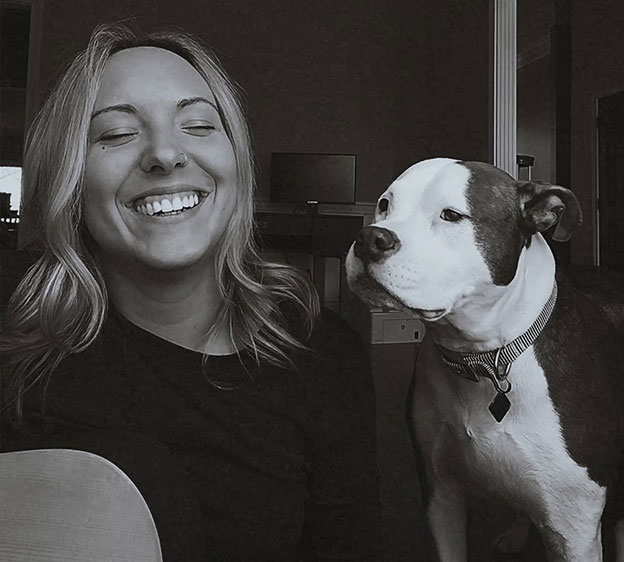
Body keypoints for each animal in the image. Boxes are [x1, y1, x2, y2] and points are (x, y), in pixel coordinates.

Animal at [346, 158, 624, 560]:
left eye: (450, 215)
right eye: (385, 204)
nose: (370, 239)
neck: (483, 359)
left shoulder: (576, 528)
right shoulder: (440, 494)